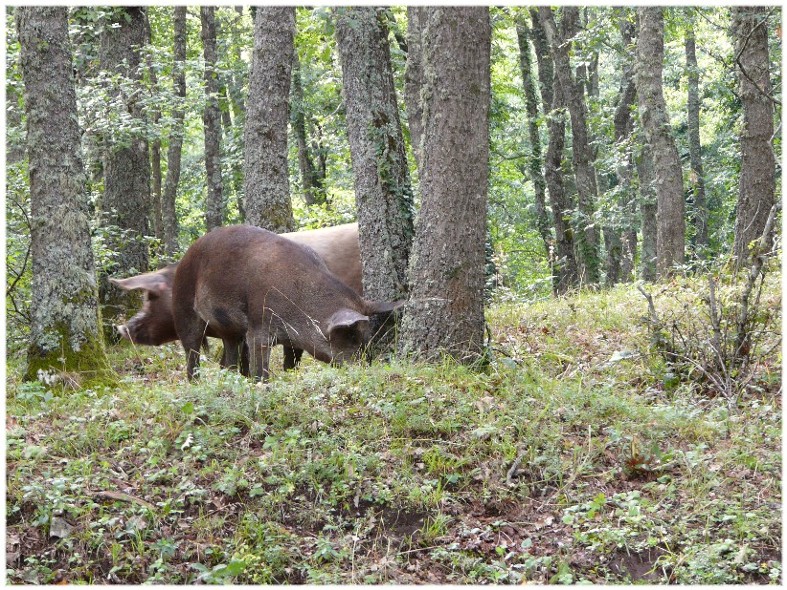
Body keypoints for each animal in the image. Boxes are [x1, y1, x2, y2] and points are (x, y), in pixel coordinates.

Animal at [170, 225, 398, 384]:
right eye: (351, 336)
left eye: (366, 337)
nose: (366, 368)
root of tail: (185, 256)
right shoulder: (259, 323)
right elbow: (260, 362)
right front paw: (262, 384)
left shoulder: (293, 339)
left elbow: (291, 362)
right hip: (183, 307)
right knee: (192, 351)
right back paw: (196, 383)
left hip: (229, 330)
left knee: (227, 357)